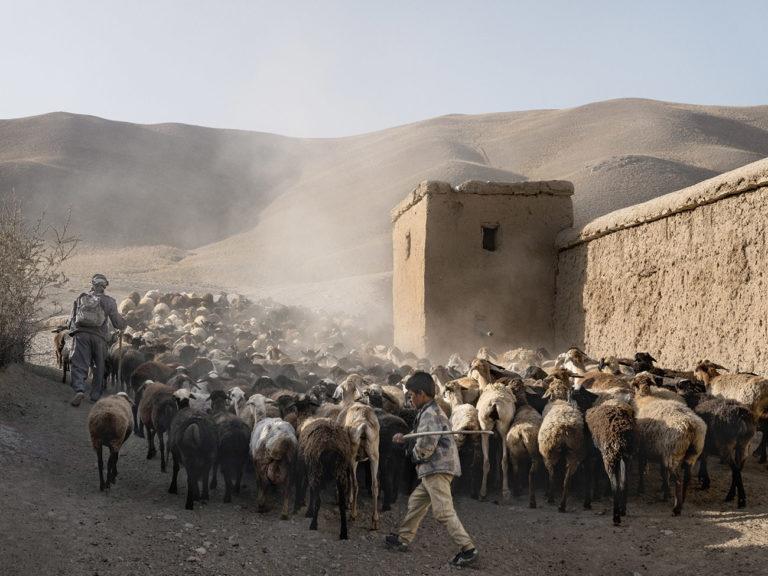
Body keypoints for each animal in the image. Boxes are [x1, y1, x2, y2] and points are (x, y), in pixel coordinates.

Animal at [536, 376, 584, 510]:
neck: (559, 400)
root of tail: (564, 429)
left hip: (549, 452)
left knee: (551, 475)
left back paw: (550, 497)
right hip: (574, 453)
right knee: (566, 480)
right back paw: (562, 505)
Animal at [632, 374, 704, 516]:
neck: (645, 397)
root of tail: (691, 426)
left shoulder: (642, 448)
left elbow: (641, 468)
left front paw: (640, 489)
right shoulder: (661, 452)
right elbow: (663, 474)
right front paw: (665, 493)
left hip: (673, 454)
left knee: (678, 480)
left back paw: (677, 508)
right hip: (692, 453)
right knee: (687, 477)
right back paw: (683, 500)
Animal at [680, 378, 756, 508]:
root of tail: (741, 413)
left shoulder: (704, 442)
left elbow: (704, 459)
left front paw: (704, 480)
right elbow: (704, 458)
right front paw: (704, 480)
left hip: (725, 445)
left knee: (735, 469)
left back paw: (739, 500)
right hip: (743, 445)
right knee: (738, 469)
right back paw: (733, 495)